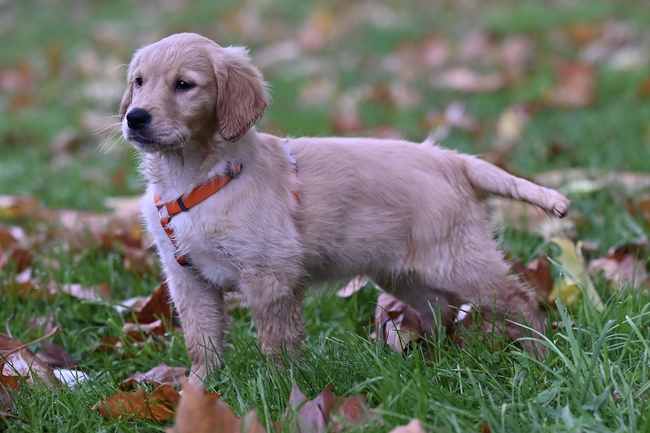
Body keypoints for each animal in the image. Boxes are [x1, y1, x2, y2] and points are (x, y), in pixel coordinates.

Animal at [120, 32, 568, 386]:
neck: (193, 177)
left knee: (517, 297)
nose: (134, 117)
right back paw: (433, 357)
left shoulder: (271, 276)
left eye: (184, 85)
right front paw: (199, 391)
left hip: (456, 259)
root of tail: (450, 160)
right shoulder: (187, 278)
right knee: (440, 309)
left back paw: (540, 354)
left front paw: (284, 388)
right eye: (138, 82)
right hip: (401, 271)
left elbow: (276, 341)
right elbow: (202, 341)